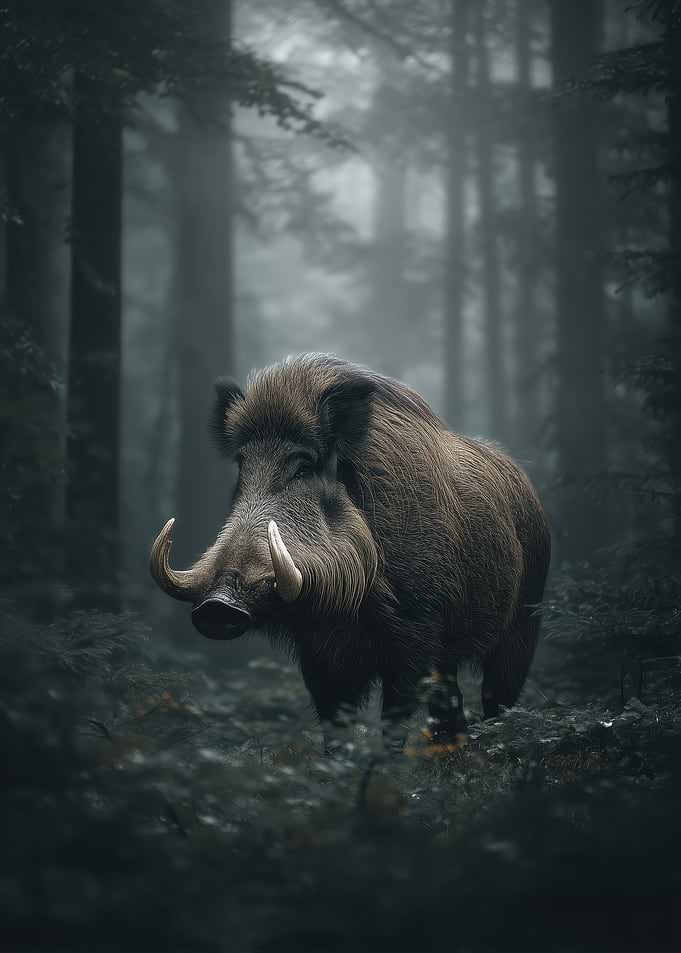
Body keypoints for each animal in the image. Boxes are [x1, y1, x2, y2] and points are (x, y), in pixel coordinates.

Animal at [150, 354, 550, 752]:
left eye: (303, 467)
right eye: (242, 466)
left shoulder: (416, 636)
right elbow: (335, 726)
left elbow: (394, 724)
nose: (217, 606)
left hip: (523, 624)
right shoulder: (318, 655)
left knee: (498, 701)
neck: (349, 607)